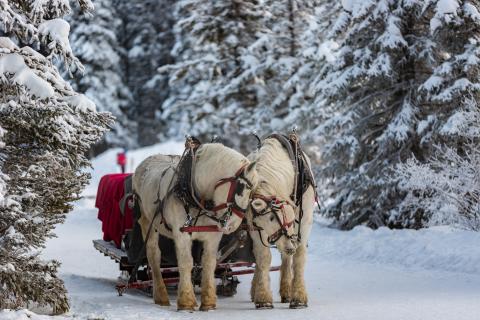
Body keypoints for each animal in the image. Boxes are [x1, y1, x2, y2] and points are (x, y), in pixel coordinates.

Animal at [131, 143, 258, 310]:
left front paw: (208, 302)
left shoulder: (213, 236)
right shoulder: (182, 234)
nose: (233, 226)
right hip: (147, 222)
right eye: (241, 188)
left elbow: (209, 263)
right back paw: (161, 296)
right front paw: (186, 302)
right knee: (153, 256)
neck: (195, 196)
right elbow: (186, 263)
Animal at [248, 138, 316, 310]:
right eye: (271, 218)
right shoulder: (255, 227)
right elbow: (263, 257)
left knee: (287, 258)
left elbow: (299, 257)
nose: (289, 247)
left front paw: (299, 297)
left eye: (291, 219)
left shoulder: (303, 221)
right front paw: (263, 297)